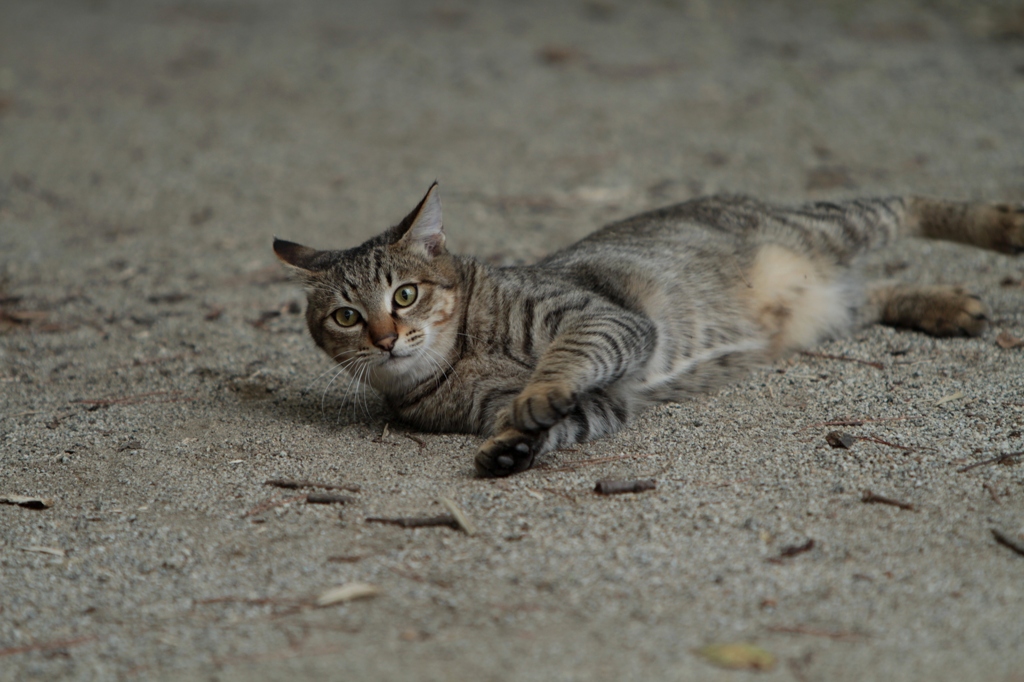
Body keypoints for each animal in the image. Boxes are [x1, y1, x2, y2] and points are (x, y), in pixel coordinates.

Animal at [274, 183, 1024, 475]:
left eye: (405, 295)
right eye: (346, 316)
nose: (385, 338)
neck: (461, 358)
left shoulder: (600, 318)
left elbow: (562, 363)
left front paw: (537, 397)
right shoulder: (605, 402)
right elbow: (550, 424)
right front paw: (514, 448)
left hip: (839, 224)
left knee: (911, 202)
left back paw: (1001, 225)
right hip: (834, 307)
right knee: (876, 290)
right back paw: (943, 305)